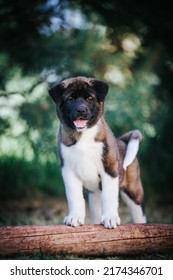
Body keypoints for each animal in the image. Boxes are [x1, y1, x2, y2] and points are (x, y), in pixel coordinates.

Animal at [48, 76, 146, 228]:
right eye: (70, 99)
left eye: (89, 98)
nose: (81, 110)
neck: (83, 135)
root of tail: (122, 141)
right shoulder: (68, 171)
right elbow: (74, 196)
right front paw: (75, 217)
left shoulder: (109, 169)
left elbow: (109, 196)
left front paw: (110, 218)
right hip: (94, 196)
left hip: (133, 191)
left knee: (139, 214)